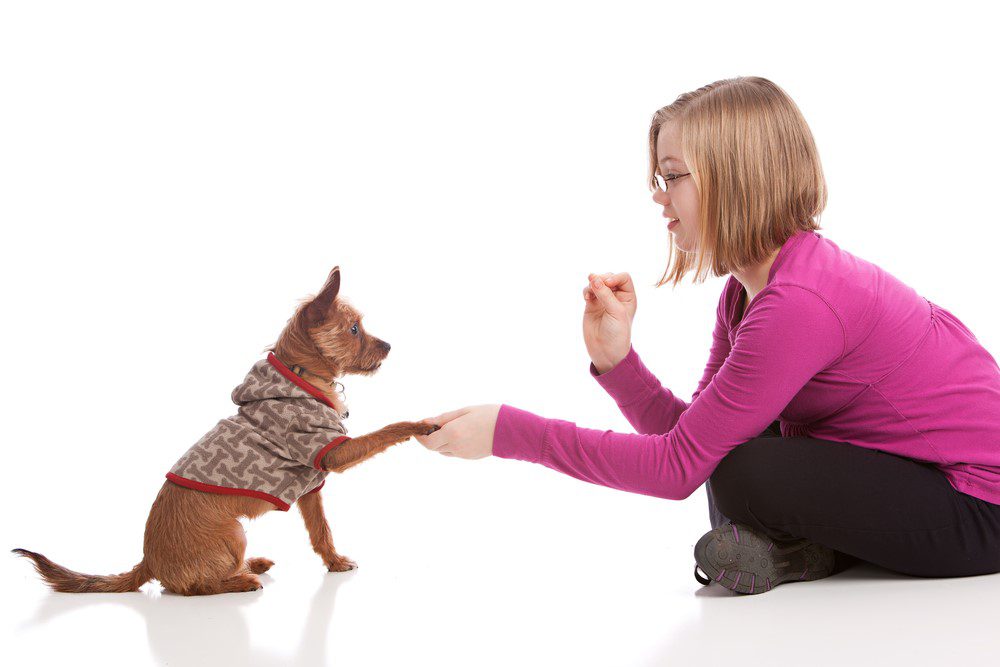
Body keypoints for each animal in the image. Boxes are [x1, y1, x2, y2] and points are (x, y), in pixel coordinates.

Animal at [14, 264, 438, 596]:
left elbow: (321, 530)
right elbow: (384, 431)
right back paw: (241, 579)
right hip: (234, 532)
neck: (301, 377)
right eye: (353, 329)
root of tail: (148, 561)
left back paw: (252, 565)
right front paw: (419, 423)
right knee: (192, 587)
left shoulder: (311, 488)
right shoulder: (332, 452)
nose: (388, 346)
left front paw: (333, 562)